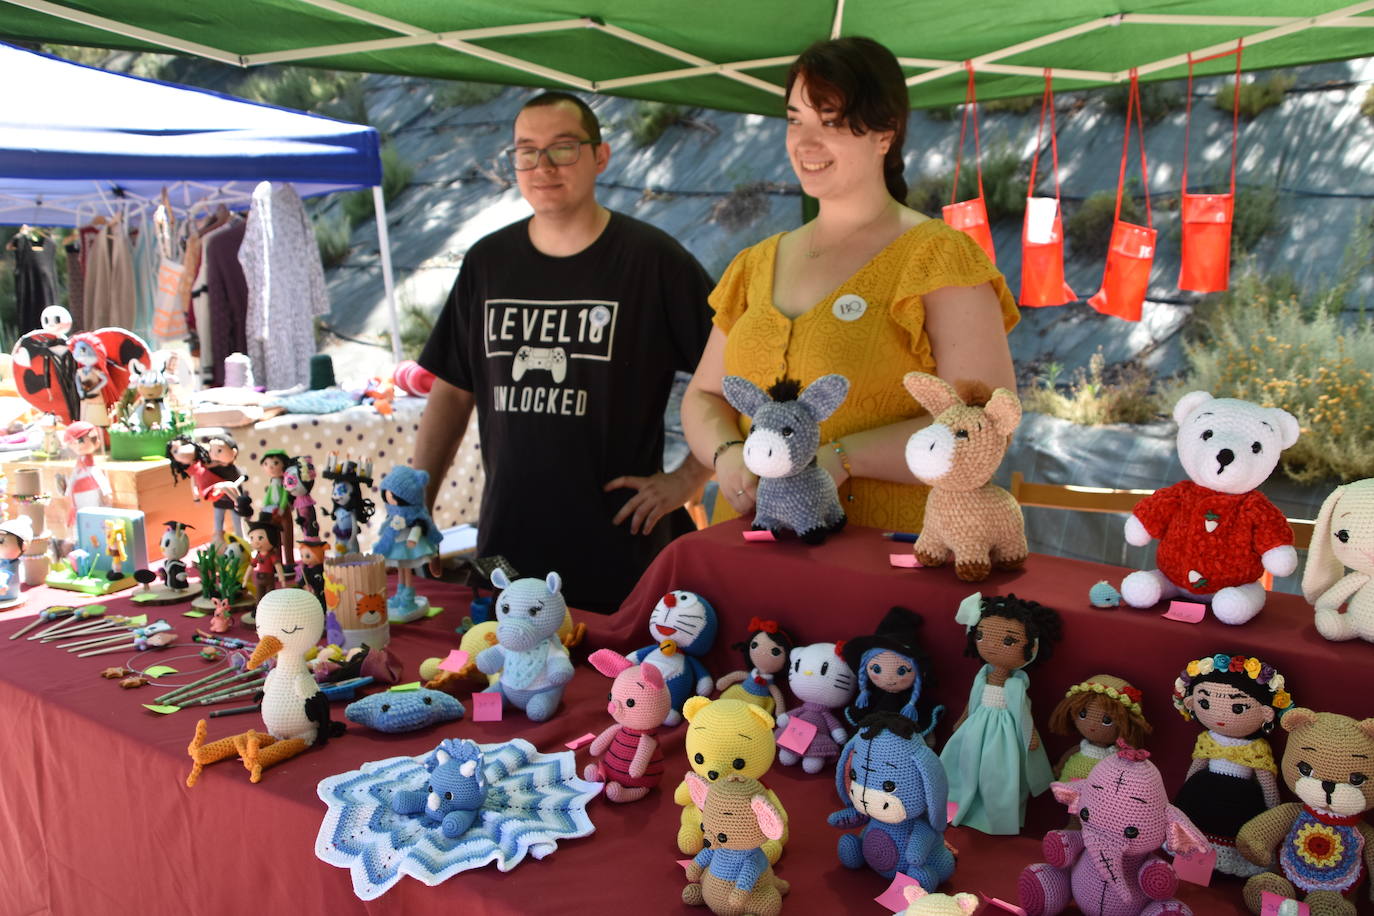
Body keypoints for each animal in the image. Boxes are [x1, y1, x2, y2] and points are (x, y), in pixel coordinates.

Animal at [824, 714, 956, 884]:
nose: (864, 801)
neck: (890, 824)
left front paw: (913, 856)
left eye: (889, 785)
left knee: (932, 869)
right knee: (851, 844)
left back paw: (920, 876)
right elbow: (859, 817)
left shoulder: (921, 825)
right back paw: (847, 846)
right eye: (852, 775)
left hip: (940, 860)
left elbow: (923, 833)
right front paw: (840, 819)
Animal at [1016, 747, 1209, 916]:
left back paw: (1169, 911)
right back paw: (1033, 887)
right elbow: (1070, 844)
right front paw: (1055, 844)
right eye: (1084, 814)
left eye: (1131, 831)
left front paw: (1158, 875)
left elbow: (1156, 872)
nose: (1127, 898)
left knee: (1165, 907)